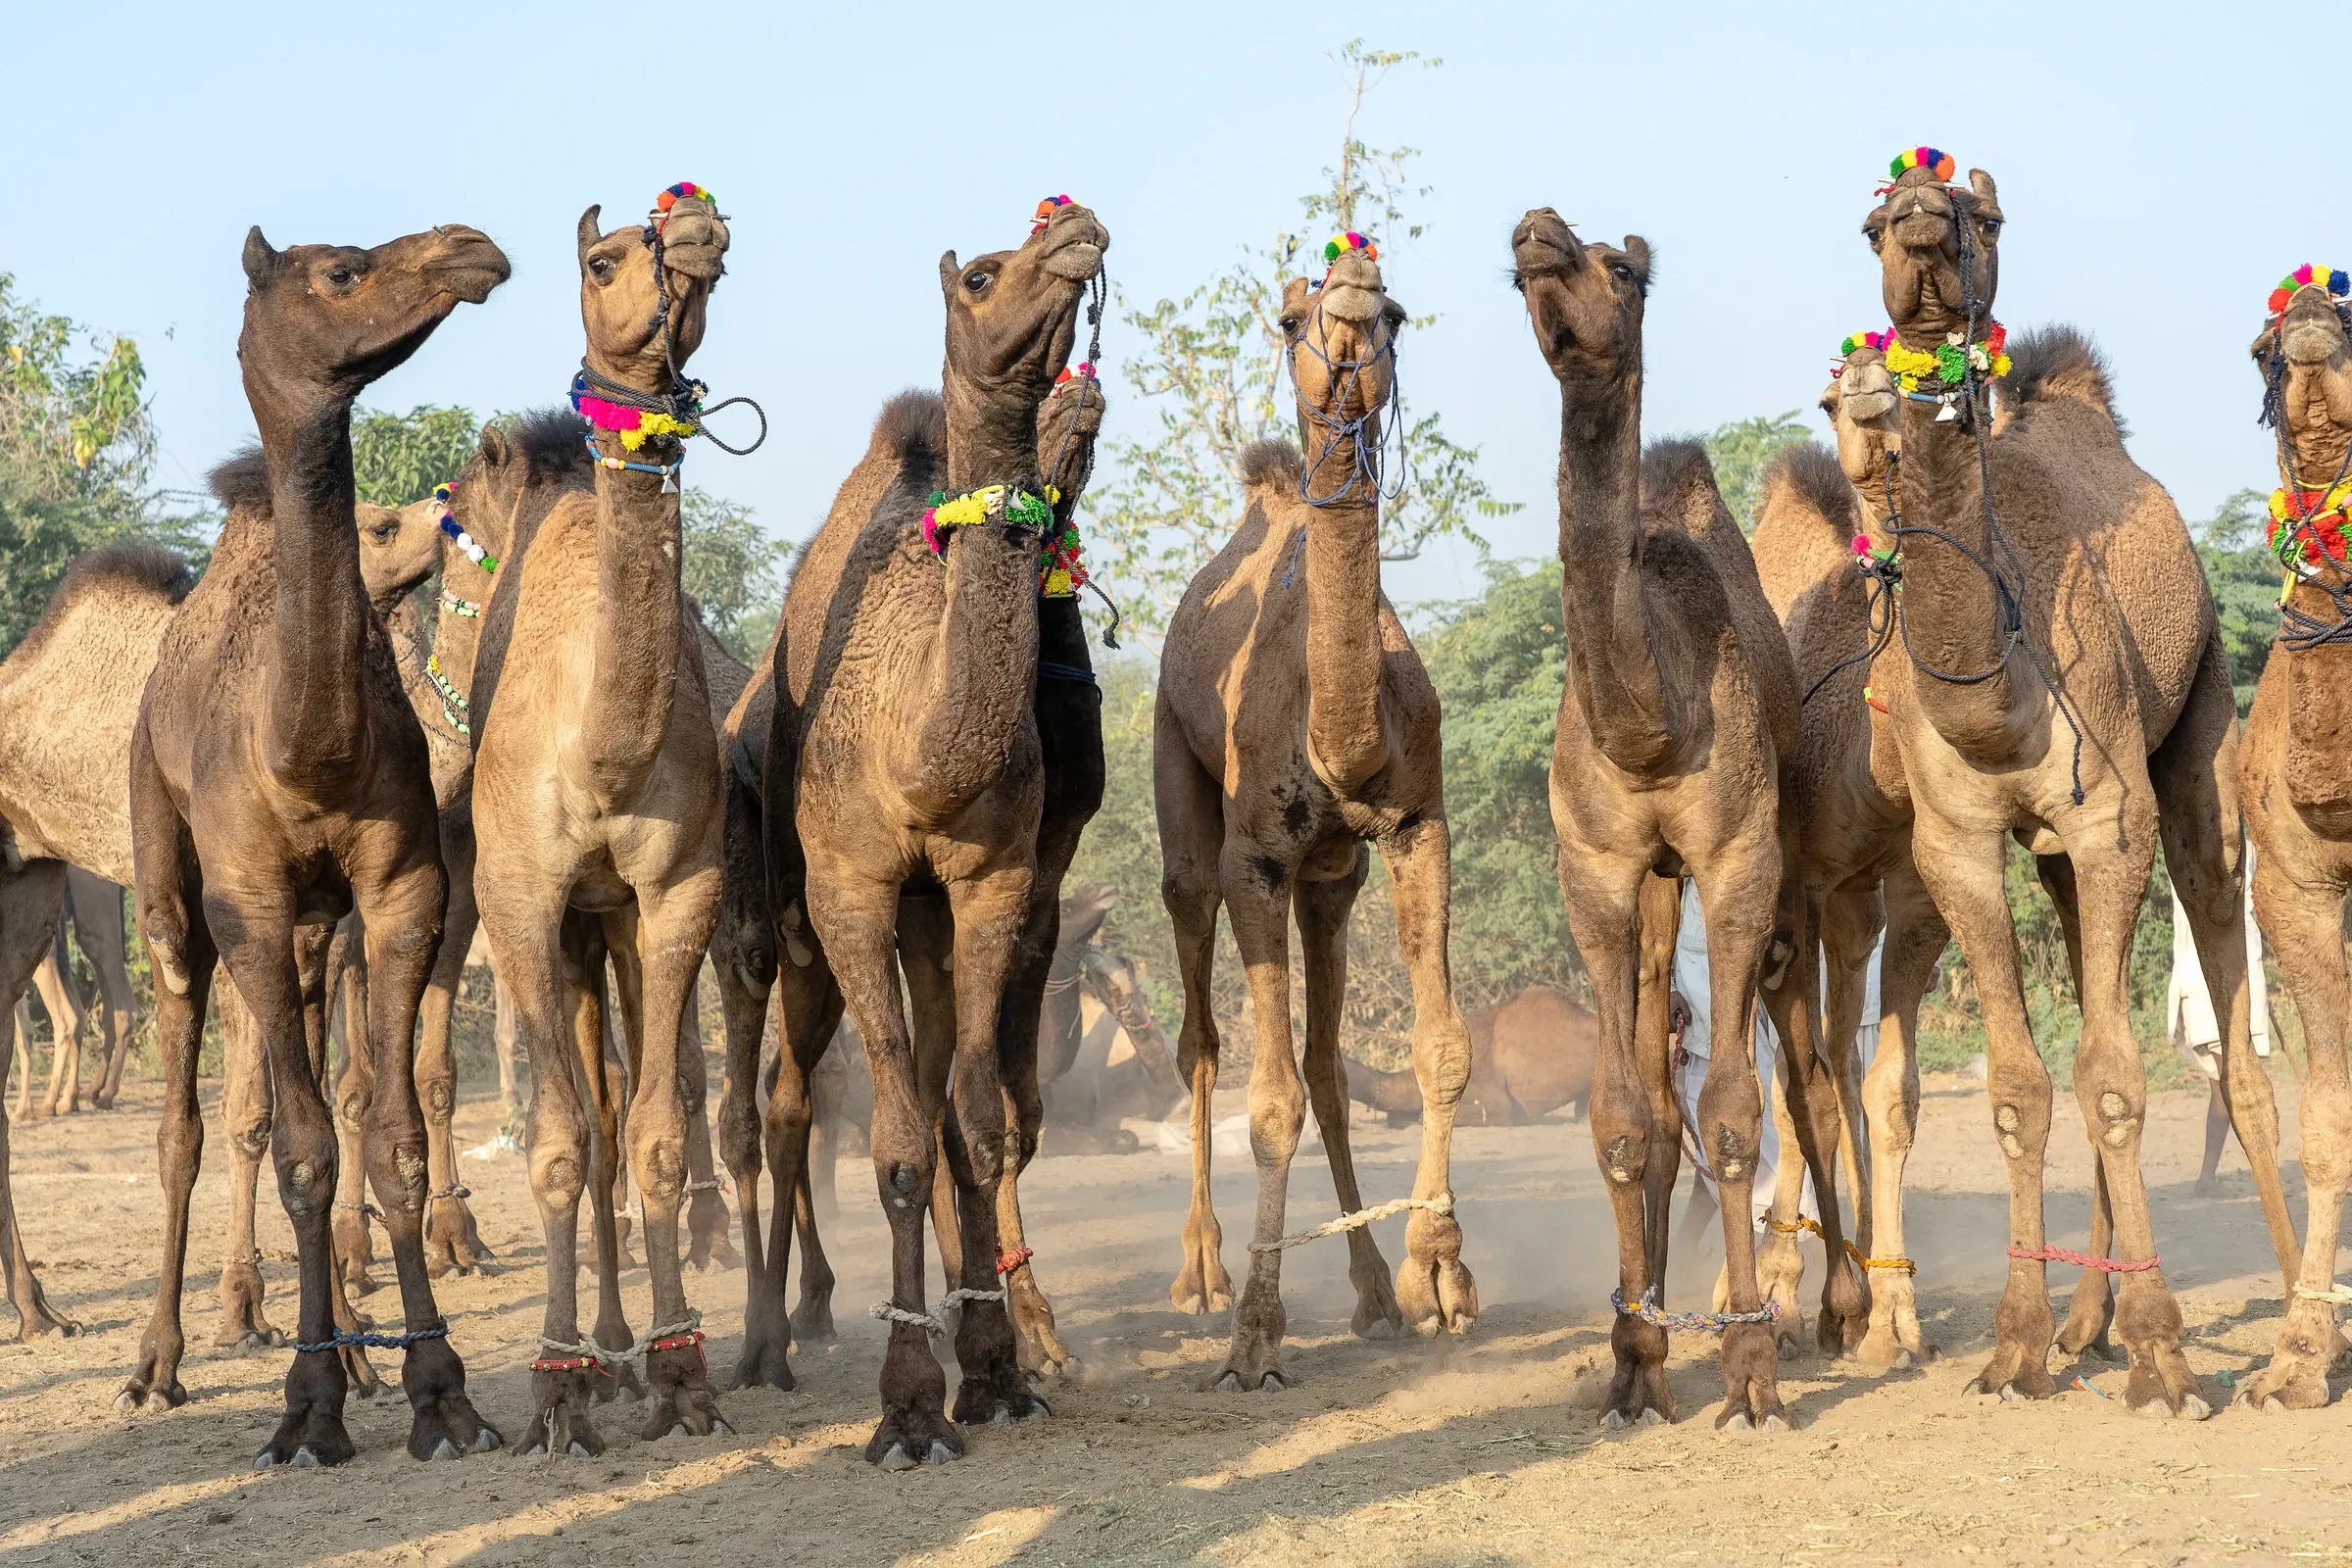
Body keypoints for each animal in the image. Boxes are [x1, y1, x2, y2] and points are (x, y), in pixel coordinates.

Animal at [121, 221, 509, 1468]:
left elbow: (385, 1136)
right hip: (170, 888)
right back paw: (160, 1361)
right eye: (340, 271)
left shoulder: (399, 889)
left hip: (310, 930)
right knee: (185, 1120)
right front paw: (303, 1408)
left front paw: (439, 1392)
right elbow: (298, 1150)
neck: (306, 746)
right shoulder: (245, 896)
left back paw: (356, 1359)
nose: (472, 247)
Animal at [748, 197, 1106, 1467]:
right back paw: (767, 1346)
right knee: (784, 1103)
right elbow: (898, 1145)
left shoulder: (991, 882)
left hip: (930, 923)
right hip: (792, 923)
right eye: (988, 273)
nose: (1078, 224)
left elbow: (980, 1127)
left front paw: (994, 1374)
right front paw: (907, 1406)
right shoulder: (853, 887)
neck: (923, 749)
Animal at [1156, 238, 1475, 1395]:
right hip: (1185, 820)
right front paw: (1255, 1332)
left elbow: (1438, 1050)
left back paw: (1375, 1290)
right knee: (1201, 1041)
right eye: (1291, 319)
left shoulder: (1415, 827)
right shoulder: (1256, 861)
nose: (1349, 291)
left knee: (1332, 1067)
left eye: (1397, 314)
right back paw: (1201, 1277)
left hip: (1332, 881)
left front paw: (1440, 1272)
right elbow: (1269, 1101)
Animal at [1861, 157, 2291, 1415]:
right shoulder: (1957, 842)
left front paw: (2163, 1352)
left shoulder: (2111, 822)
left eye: (1986, 215)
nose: (1922, 225)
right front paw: (2016, 1346)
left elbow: (2111, 1076)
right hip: (2052, 856)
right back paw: (2084, 1321)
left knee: (2231, 1025)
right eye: (1871, 222)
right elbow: (2021, 1084)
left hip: (2198, 749)